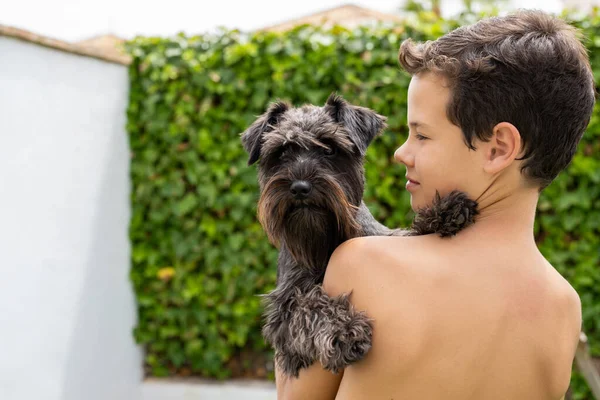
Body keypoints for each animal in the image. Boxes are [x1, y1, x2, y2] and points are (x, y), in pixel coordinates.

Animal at [239, 93, 478, 378]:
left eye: (330, 149)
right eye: (282, 152)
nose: (299, 187)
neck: (326, 239)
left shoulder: (380, 237)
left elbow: (404, 234)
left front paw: (446, 211)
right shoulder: (282, 308)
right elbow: (308, 305)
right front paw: (343, 331)